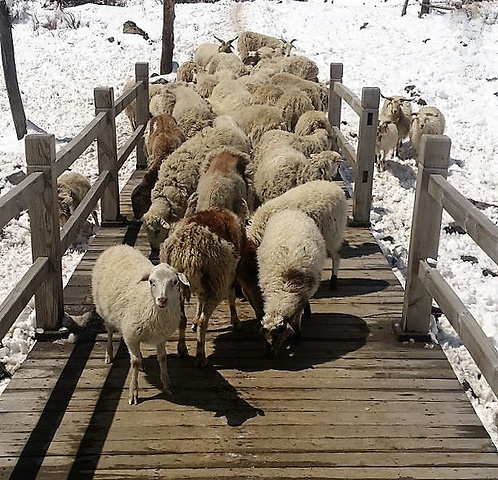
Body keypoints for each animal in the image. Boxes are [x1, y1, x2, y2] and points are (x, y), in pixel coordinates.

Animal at [91, 244, 189, 404]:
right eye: (151, 282)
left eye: (174, 282)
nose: (162, 300)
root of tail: (117, 246)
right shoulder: (131, 336)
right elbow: (134, 362)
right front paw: (133, 392)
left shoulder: (160, 337)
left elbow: (162, 358)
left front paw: (167, 385)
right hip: (104, 310)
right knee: (110, 331)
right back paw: (109, 354)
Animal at [160, 208, 245, 366]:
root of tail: (188, 251)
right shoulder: (230, 276)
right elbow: (231, 297)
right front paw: (236, 321)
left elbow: (200, 298)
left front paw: (194, 319)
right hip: (216, 283)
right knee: (203, 322)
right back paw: (200, 357)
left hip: (177, 286)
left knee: (182, 318)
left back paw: (182, 349)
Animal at [256, 208, 326, 358]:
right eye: (263, 337)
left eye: (278, 335)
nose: (269, 356)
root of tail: (290, 210)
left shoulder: (300, 298)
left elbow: (295, 323)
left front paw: (297, 338)